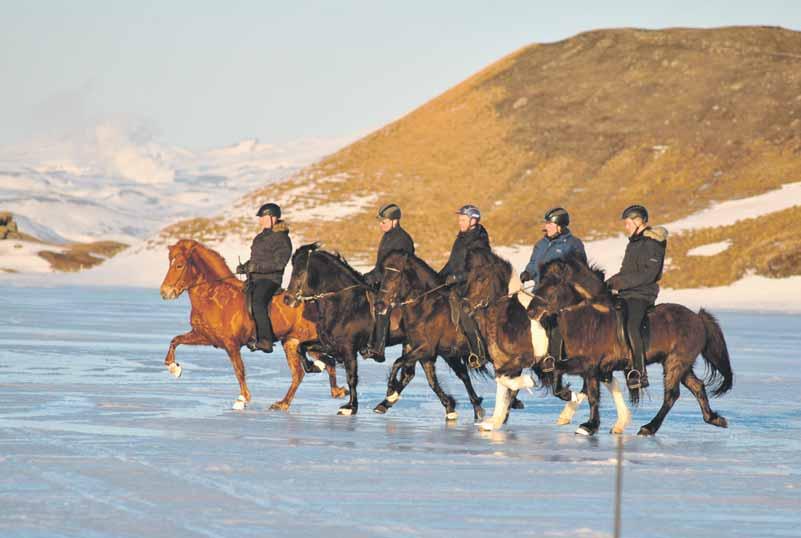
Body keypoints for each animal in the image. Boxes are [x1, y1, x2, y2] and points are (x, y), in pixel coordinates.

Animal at [158, 239, 346, 410]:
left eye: (179, 265)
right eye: (170, 263)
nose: (165, 292)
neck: (216, 297)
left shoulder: (231, 345)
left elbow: (239, 370)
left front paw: (242, 399)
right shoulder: (205, 336)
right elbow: (175, 340)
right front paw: (174, 368)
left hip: (299, 343)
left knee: (305, 371)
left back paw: (286, 403)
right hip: (296, 343)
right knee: (320, 366)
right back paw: (334, 392)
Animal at [524, 253, 732, 434]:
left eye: (553, 284)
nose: (530, 312)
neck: (590, 317)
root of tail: (698, 318)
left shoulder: (588, 364)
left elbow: (574, 381)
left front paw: (576, 407)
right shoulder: (591, 369)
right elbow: (588, 391)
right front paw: (590, 423)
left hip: (676, 362)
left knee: (672, 395)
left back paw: (649, 427)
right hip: (680, 364)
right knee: (697, 386)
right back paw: (714, 418)